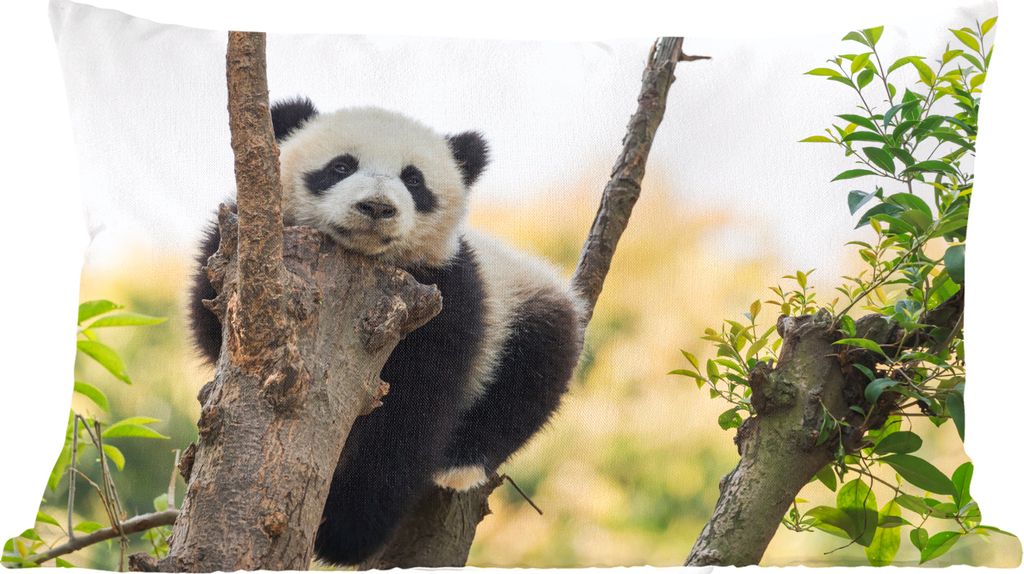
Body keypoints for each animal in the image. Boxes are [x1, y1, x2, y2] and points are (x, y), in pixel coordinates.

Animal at [188, 97, 584, 566]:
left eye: (413, 179)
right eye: (341, 166)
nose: (377, 207)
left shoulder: (447, 296)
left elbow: (412, 411)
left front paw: (344, 532)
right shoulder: (236, 255)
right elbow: (210, 319)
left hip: (523, 301)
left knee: (532, 373)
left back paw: (460, 464)